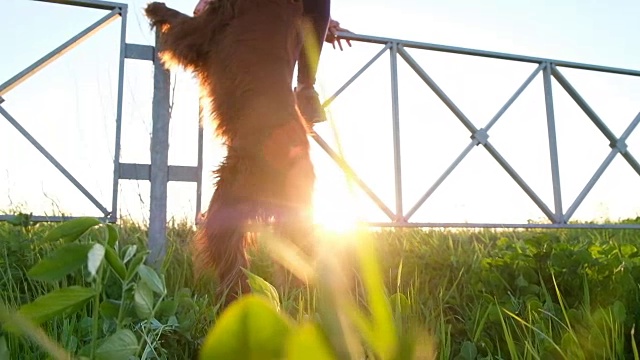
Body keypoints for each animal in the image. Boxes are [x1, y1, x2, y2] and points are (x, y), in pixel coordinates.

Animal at [145, 0, 316, 304]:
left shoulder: (204, 32)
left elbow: (181, 24)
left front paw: (156, 9)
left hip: (229, 197)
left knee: (229, 250)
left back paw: (233, 296)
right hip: (291, 215)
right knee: (297, 256)